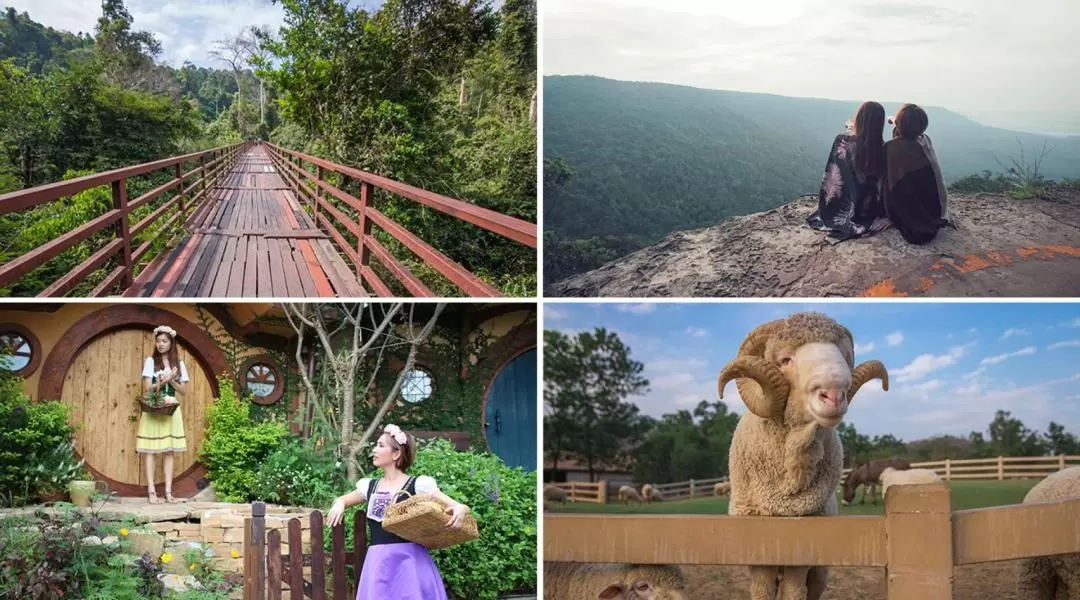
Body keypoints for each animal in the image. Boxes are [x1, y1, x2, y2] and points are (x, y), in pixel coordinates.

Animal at [717, 310, 894, 595]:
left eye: (845, 357)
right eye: (784, 360)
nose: (834, 394)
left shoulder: (803, 549)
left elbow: (794, 591)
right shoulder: (756, 550)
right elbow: (762, 590)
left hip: (821, 571)